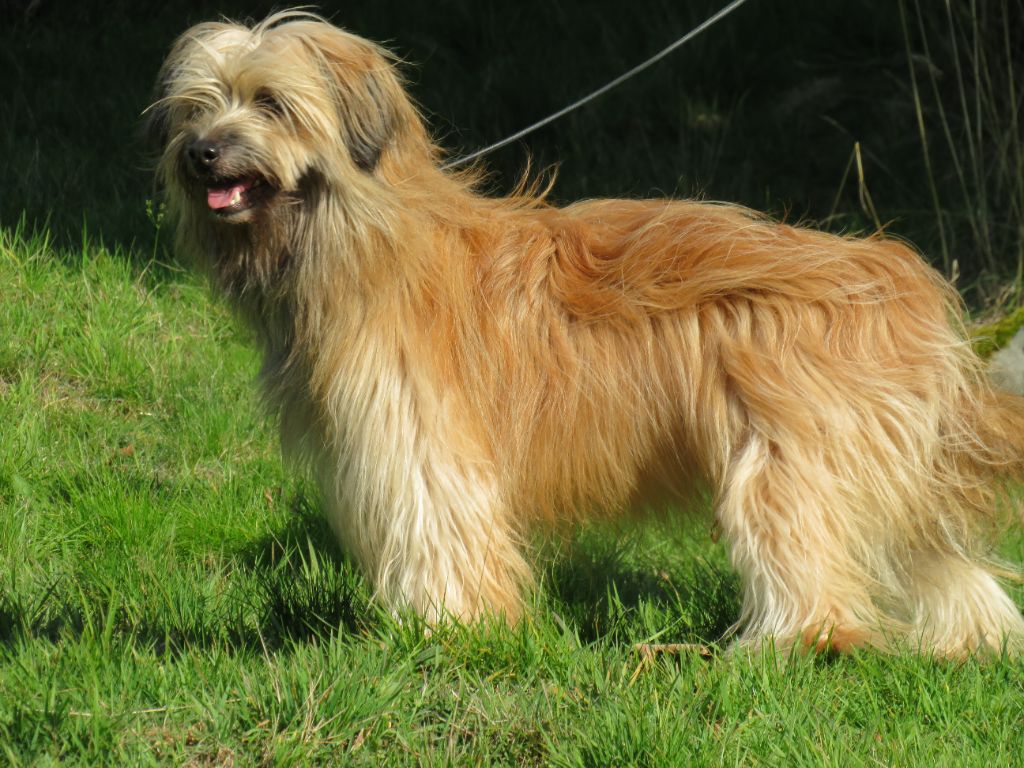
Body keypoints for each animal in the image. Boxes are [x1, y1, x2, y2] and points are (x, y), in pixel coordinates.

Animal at [148, 10, 1024, 655]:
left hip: (793, 455)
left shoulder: (422, 440)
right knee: (931, 548)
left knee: (807, 559)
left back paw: (784, 648)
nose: (201, 153)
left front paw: (446, 631)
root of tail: (898, 275)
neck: (363, 242)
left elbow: (440, 525)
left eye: (269, 102)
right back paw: (969, 643)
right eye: (197, 106)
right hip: (878, 452)